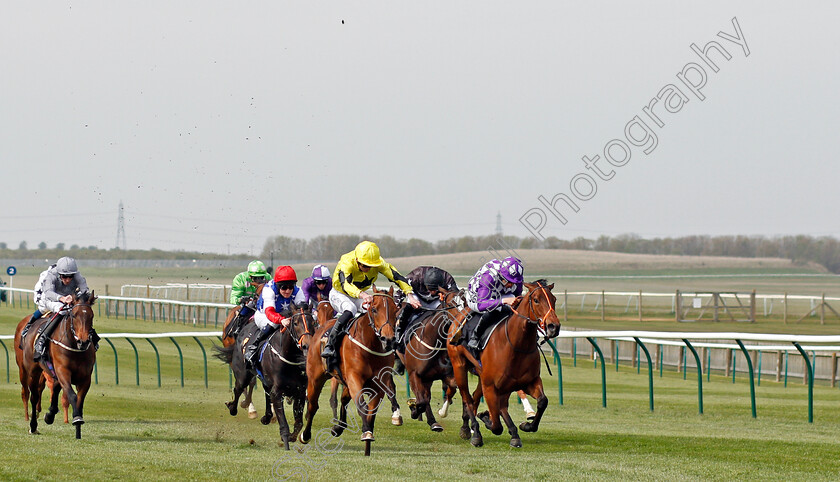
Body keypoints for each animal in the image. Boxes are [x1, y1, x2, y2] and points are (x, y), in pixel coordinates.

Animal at [13, 290, 97, 440]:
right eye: (74, 315)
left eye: (91, 315)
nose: (83, 342)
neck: (74, 348)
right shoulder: (63, 371)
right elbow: (72, 395)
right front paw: (76, 419)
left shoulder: (85, 378)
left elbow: (79, 400)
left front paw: (77, 428)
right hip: (29, 371)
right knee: (32, 395)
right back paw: (33, 425)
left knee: (53, 389)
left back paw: (49, 415)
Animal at [298, 286, 398, 456]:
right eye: (374, 309)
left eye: (396, 310)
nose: (388, 339)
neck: (370, 346)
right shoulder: (354, 379)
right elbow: (361, 406)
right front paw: (366, 433)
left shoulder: (379, 385)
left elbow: (371, 412)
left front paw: (367, 442)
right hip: (315, 379)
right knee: (312, 405)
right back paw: (305, 435)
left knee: (343, 399)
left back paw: (338, 428)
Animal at [446, 278, 556, 448]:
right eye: (536, 300)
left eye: (554, 300)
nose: (554, 327)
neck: (516, 345)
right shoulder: (491, 386)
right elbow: (496, 426)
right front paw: (485, 420)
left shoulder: (529, 381)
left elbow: (543, 401)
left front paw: (526, 425)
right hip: (460, 367)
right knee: (468, 398)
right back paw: (473, 431)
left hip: (489, 379)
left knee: (483, 400)